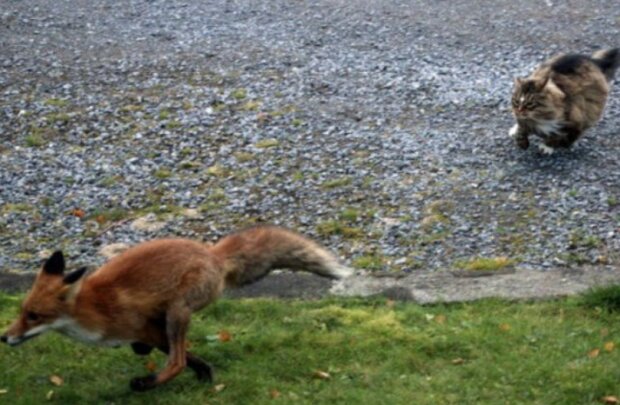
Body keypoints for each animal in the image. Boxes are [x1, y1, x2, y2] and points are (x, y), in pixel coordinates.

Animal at [0, 226, 352, 390]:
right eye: (21, 312)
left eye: (34, 316)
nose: (4, 337)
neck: (93, 308)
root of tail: (213, 254)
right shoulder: (148, 333)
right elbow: (189, 356)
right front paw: (207, 372)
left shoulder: (145, 327)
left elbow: (180, 358)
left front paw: (194, 373)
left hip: (177, 311)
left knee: (176, 361)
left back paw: (146, 384)